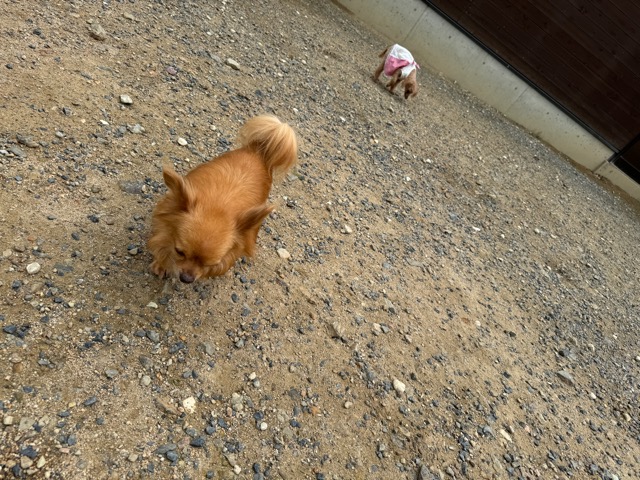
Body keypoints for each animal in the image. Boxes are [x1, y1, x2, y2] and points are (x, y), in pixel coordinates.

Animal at [148, 115, 297, 283]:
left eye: (211, 264)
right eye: (179, 251)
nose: (186, 278)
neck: (217, 206)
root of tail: (259, 151)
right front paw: (161, 264)